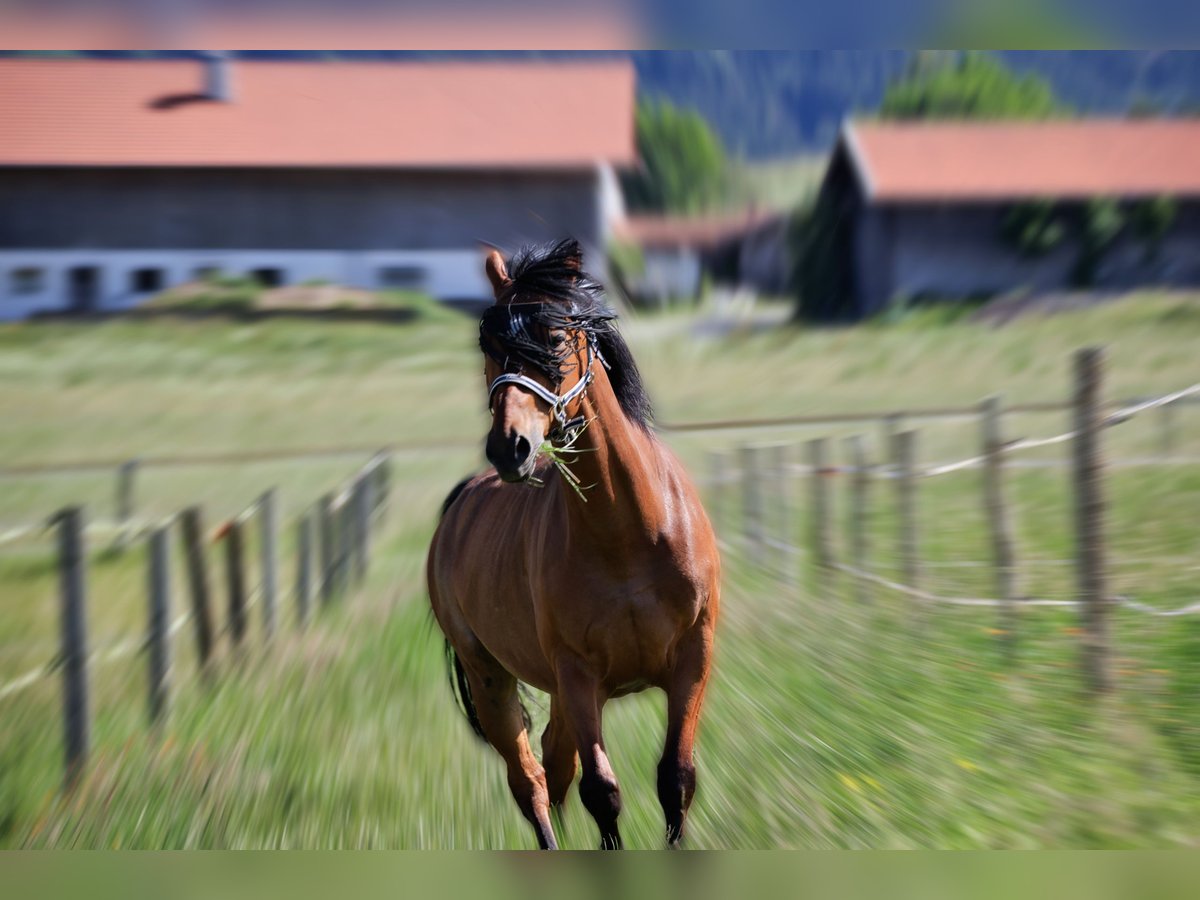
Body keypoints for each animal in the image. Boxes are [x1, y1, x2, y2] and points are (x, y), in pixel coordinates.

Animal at [427, 241, 715, 854]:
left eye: (557, 338)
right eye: (488, 345)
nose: (509, 448)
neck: (628, 535)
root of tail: (462, 501)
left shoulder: (693, 659)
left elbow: (675, 779)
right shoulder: (579, 676)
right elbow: (602, 793)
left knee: (553, 769)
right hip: (492, 679)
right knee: (531, 781)